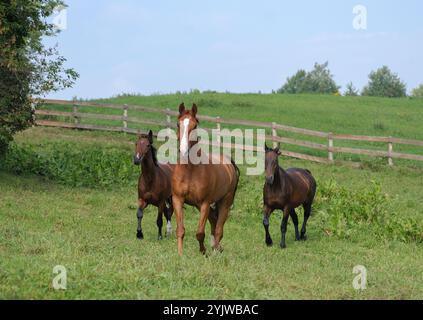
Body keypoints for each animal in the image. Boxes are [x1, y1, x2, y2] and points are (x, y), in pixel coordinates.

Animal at [171, 104, 240, 256]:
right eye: (178, 124)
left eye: (195, 125)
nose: (183, 150)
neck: (190, 170)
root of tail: (229, 163)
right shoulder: (178, 199)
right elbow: (180, 230)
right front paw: (180, 254)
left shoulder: (205, 203)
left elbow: (200, 233)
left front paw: (203, 251)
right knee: (214, 222)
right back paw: (216, 247)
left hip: (225, 202)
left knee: (219, 228)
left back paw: (215, 251)